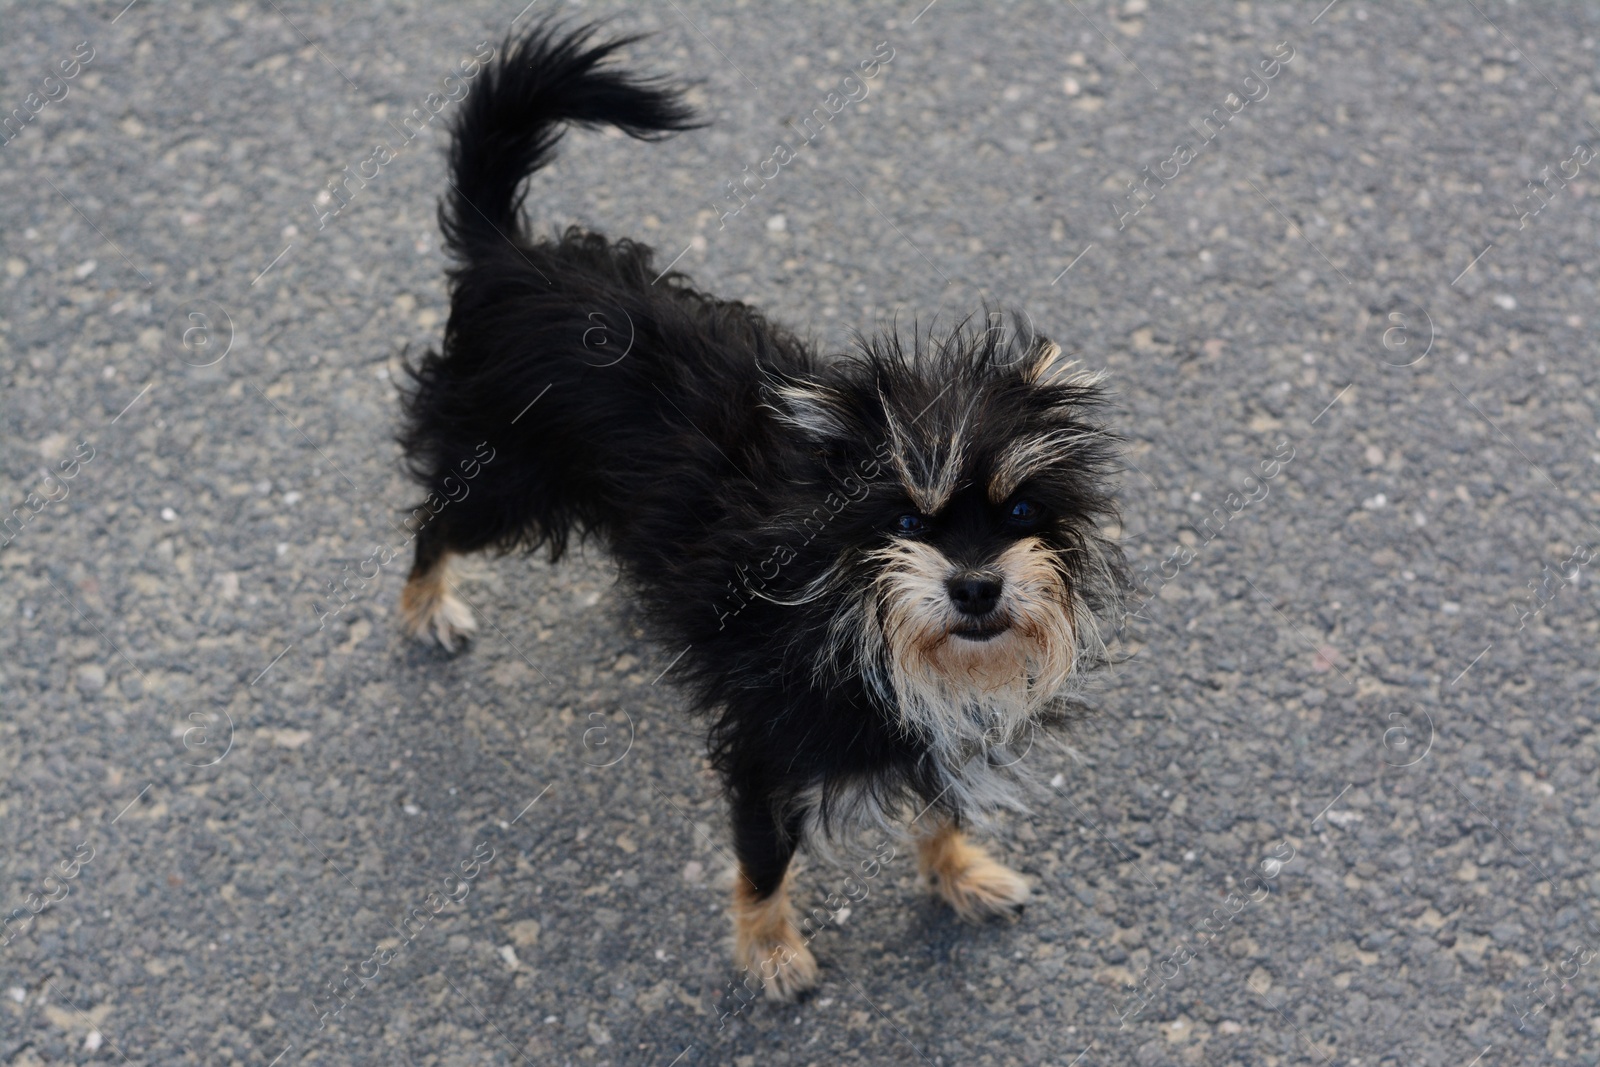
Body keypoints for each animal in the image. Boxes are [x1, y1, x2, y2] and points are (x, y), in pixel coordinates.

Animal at [398, 22, 1126, 1004]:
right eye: (903, 523)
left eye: (1018, 509)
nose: (975, 585)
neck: (844, 601)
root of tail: (510, 252)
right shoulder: (764, 747)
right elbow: (765, 856)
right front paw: (772, 949)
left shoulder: (933, 722)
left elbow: (938, 806)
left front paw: (960, 871)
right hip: (508, 481)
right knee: (432, 522)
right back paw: (425, 604)